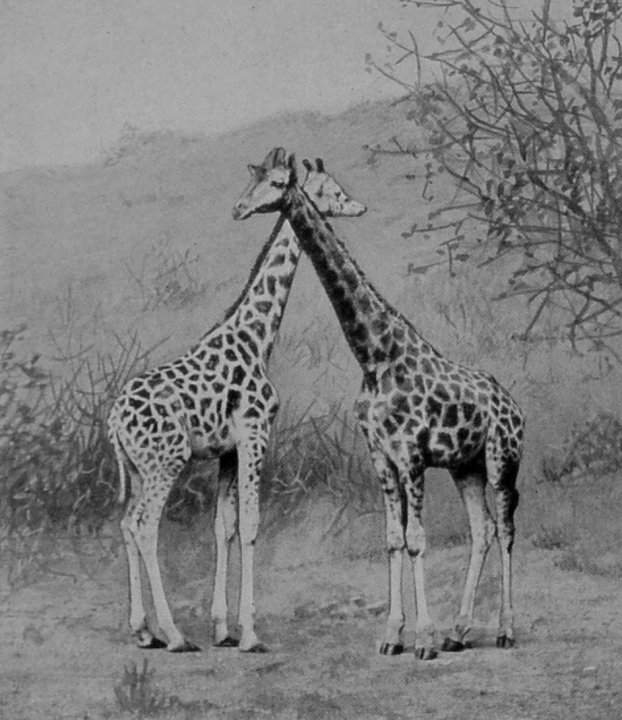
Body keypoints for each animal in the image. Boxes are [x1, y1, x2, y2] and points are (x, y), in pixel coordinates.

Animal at [108, 150, 366, 653]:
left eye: (272, 181)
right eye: (333, 189)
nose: (357, 206)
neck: (258, 337)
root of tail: (112, 421)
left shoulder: (226, 450)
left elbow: (222, 528)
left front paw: (222, 628)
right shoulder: (254, 435)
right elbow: (250, 526)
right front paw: (249, 633)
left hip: (138, 468)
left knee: (127, 524)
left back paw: (144, 631)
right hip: (165, 461)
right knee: (146, 527)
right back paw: (174, 635)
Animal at [232, 148, 524, 660]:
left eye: (275, 182)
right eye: (253, 179)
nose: (239, 208)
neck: (374, 355)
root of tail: (516, 408)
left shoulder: (410, 456)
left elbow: (417, 540)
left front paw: (423, 639)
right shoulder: (381, 457)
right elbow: (392, 539)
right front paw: (393, 636)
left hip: (500, 461)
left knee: (506, 528)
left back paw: (505, 630)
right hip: (465, 465)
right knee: (483, 529)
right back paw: (459, 632)